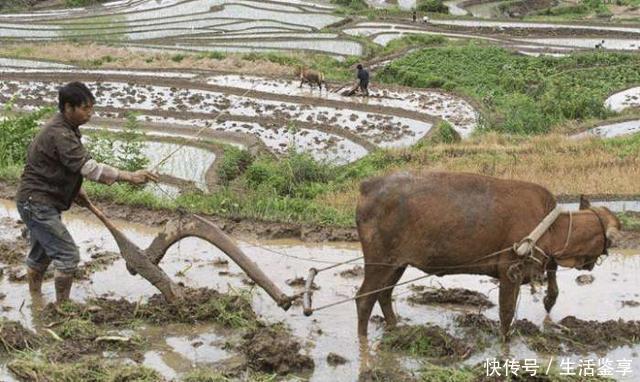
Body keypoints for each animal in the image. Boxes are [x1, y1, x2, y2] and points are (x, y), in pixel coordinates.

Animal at [356, 172, 620, 338]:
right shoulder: (509, 272)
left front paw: (549, 299)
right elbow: (506, 314)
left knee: (384, 295)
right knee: (364, 299)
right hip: (379, 263)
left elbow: (550, 281)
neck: (552, 227)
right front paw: (506, 344)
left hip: (396, 264)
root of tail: (368, 186)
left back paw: (395, 329)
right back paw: (363, 341)